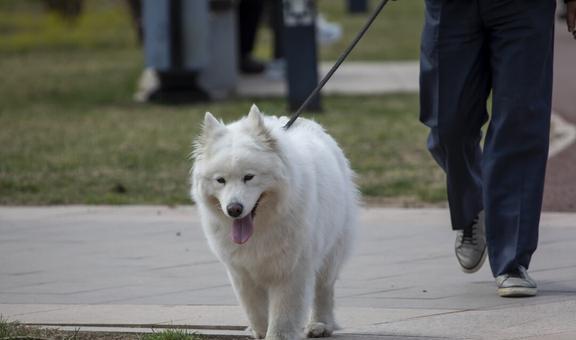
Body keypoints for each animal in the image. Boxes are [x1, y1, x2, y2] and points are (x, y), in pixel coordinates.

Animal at [191, 105, 358, 338]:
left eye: (249, 177)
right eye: (220, 180)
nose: (234, 209)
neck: (262, 227)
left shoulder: (292, 270)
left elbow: (283, 314)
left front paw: (278, 335)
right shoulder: (241, 272)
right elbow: (254, 308)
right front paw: (260, 331)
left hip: (331, 253)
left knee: (323, 290)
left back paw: (320, 325)